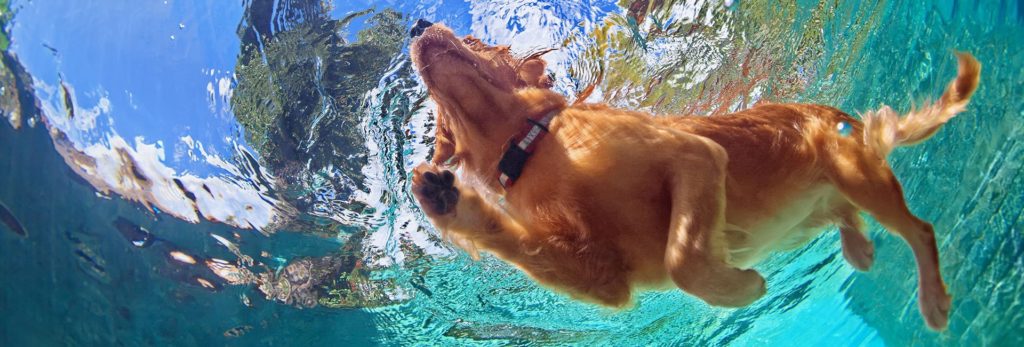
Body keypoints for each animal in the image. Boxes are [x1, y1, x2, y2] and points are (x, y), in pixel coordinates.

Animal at [405, 21, 974, 331]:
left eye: (476, 38)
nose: (417, 24)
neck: (533, 146)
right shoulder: (605, 278)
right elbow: (527, 246)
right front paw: (444, 200)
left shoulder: (694, 156)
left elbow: (683, 259)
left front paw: (739, 288)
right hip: (831, 200)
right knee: (848, 215)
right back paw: (859, 247)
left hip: (856, 173)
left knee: (921, 230)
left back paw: (933, 300)